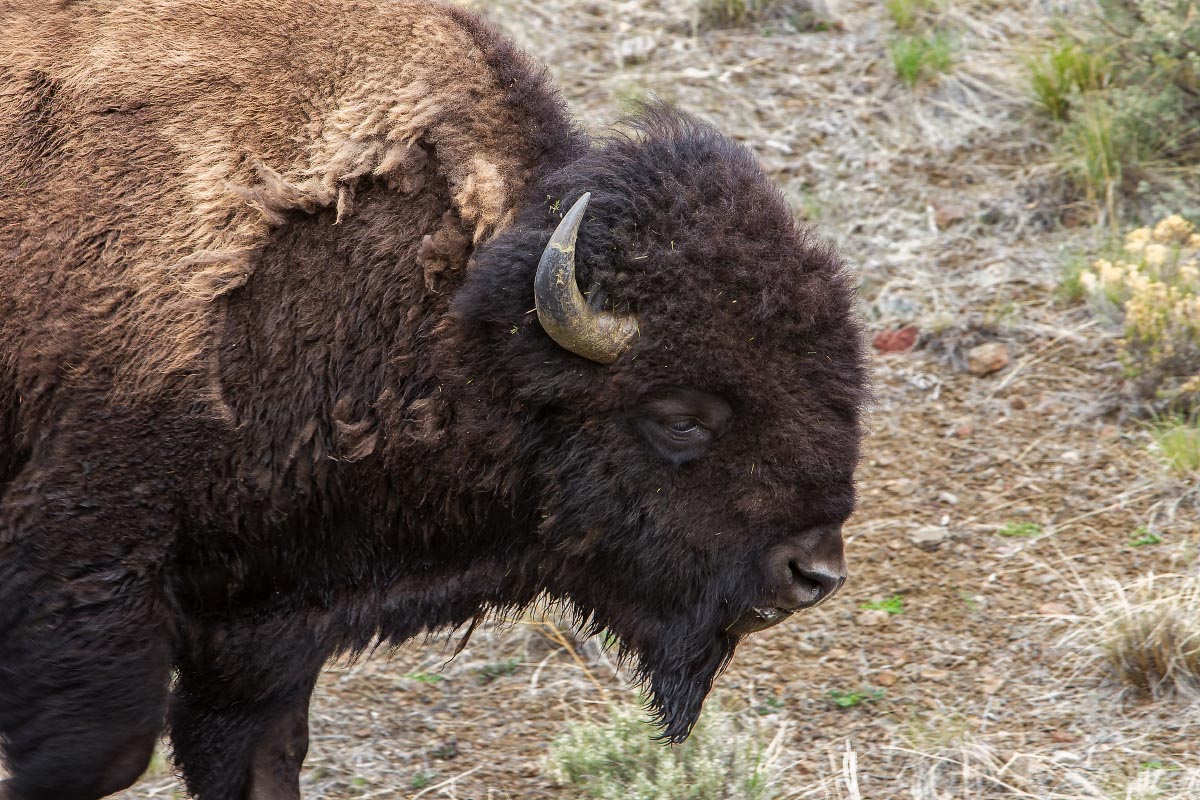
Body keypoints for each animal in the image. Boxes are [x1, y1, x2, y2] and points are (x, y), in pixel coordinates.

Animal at [0, 1, 864, 800]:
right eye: (680, 420)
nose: (812, 573)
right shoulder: (89, 562)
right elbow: (101, 753)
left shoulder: (265, 626)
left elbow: (263, 756)